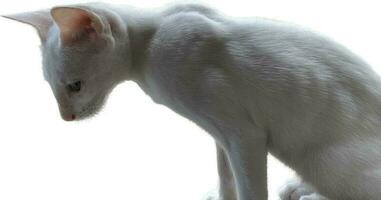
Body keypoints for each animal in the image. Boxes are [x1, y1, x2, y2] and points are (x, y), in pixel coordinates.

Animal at [5, 1, 380, 200]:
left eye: (74, 86)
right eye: (51, 86)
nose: (65, 117)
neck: (148, 49)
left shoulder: (244, 135)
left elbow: (250, 188)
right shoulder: (221, 136)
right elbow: (226, 177)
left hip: (327, 160)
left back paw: (311, 192)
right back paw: (298, 188)